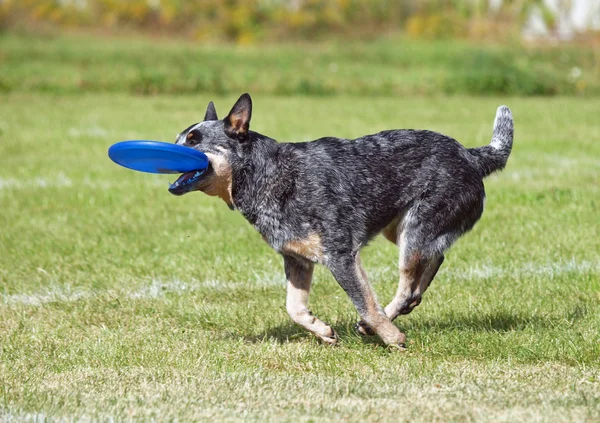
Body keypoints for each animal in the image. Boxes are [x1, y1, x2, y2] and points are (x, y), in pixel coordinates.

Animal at [171, 94, 512, 350]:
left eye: (194, 140)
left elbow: (365, 303)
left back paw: (382, 325)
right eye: (178, 138)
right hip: (399, 230)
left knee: (408, 284)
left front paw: (393, 339)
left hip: (414, 230)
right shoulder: (296, 259)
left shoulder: (341, 255)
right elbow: (294, 308)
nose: (165, 149)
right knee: (431, 266)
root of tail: (470, 155)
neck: (269, 174)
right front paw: (321, 329)